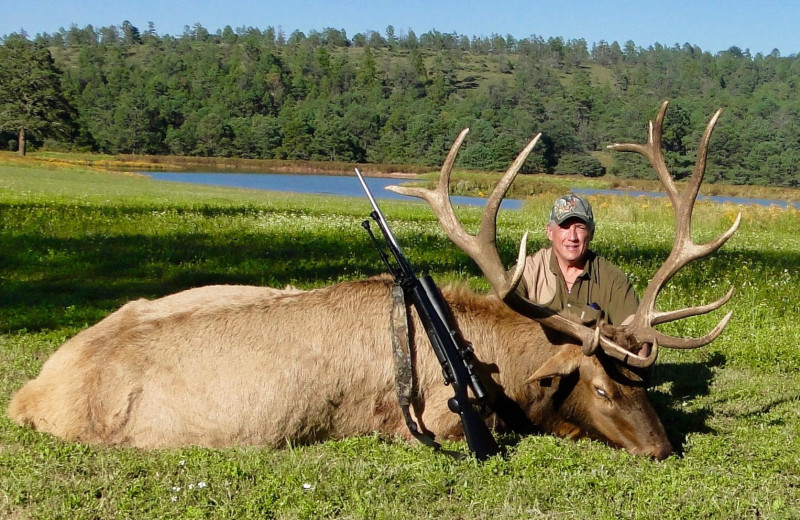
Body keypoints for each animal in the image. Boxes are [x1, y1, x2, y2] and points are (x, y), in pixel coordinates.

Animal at [9, 101, 740, 460]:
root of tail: (26, 396)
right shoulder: (430, 424)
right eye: (598, 385)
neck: (500, 370)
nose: (663, 449)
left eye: (643, 381)